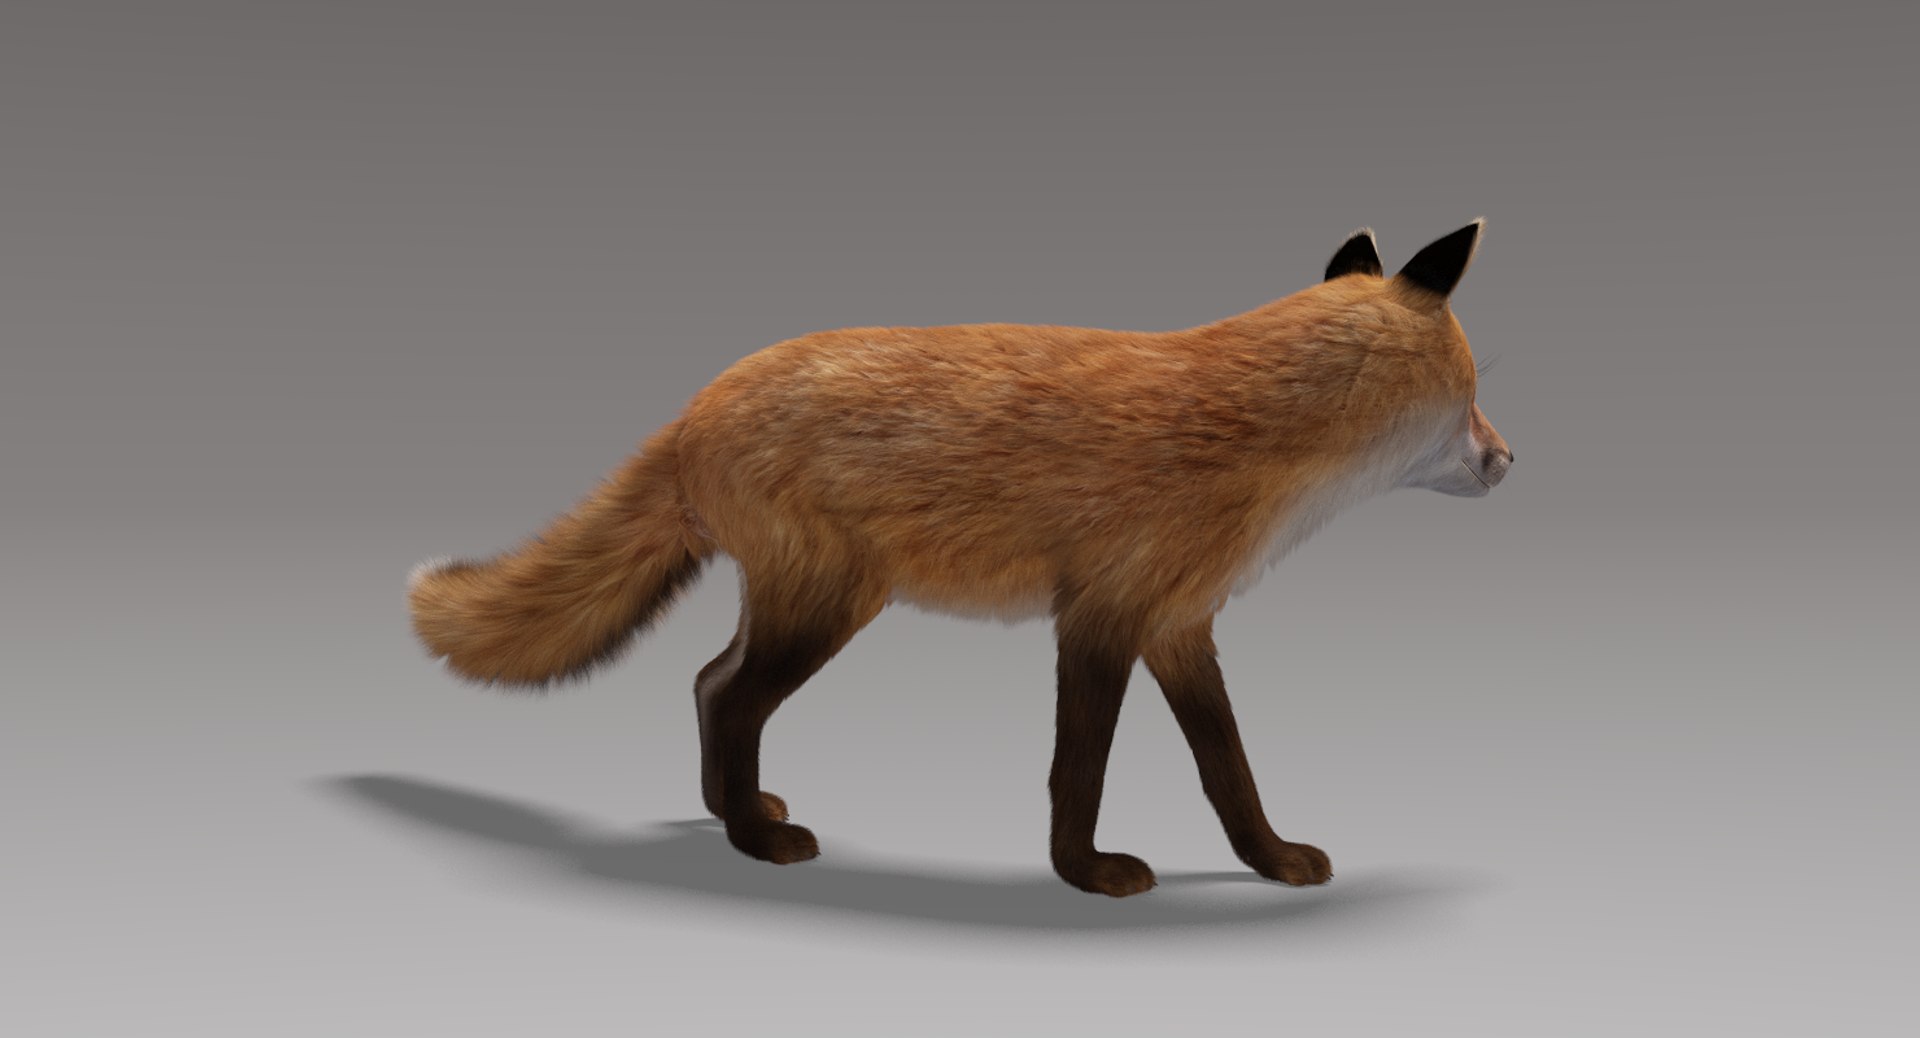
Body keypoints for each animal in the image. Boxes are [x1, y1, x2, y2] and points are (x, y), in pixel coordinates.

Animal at [408, 221, 1513, 897]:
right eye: (1469, 399)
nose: (1509, 458)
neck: (1253, 433)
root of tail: (698, 405)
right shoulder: (1103, 619)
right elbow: (1080, 770)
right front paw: (1087, 874)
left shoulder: (1176, 624)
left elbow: (1226, 767)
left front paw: (1270, 859)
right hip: (827, 607)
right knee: (727, 696)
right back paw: (756, 843)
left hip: (797, 604)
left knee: (706, 681)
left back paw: (738, 810)